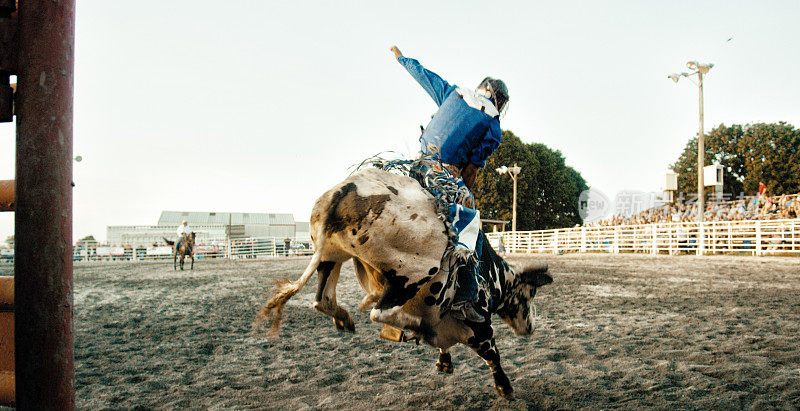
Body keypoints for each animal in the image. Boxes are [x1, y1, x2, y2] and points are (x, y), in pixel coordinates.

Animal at [255, 167, 552, 400]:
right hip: (412, 274)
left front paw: (444, 361)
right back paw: (415, 326)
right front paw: (505, 388)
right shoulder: (480, 326)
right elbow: (492, 354)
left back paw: (345, 319)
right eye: (530, 294)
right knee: (380, 311)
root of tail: (342, 192)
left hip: (331, 255)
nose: (530, 327)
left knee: (323, 299)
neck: (494, 274)